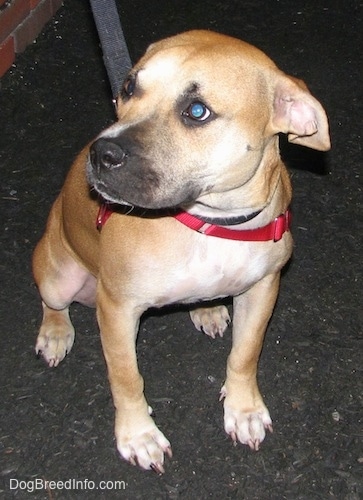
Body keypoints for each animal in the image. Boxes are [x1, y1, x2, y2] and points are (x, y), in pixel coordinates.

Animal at [32, 31, 332, 472]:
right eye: (128, 87)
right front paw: (138, 434)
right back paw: (55, 332)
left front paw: (243, 409)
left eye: (196, 111)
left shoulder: (262, 289)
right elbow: (126, 377)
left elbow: (245, 355)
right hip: (59, 276)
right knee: (52, 301)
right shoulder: (118, 308)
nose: (101, 154)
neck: (210, 223)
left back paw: (206, 309)